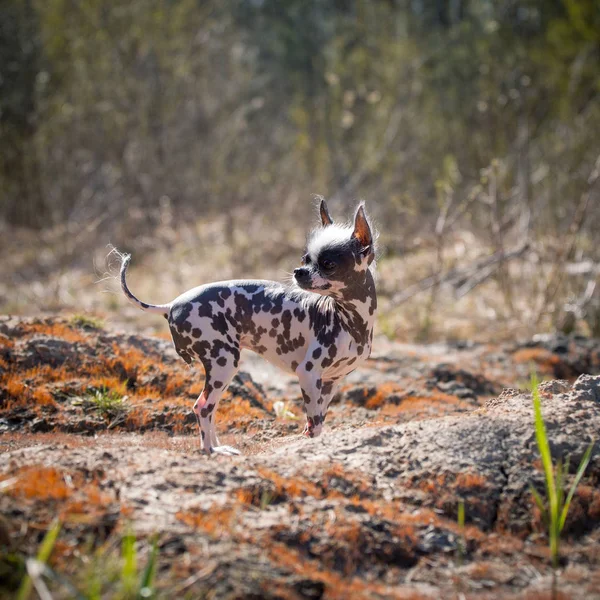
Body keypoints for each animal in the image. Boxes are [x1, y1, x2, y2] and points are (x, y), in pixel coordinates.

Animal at [119, 198, 378, 454]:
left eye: (328, 264)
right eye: (304, 259)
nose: (298, 272)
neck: (349, 321)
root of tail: (171, 305)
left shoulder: (330, 382)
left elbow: (320, 422)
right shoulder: (307, 373)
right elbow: (313, 425)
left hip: (222, 368)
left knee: (210, 408)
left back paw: (217, 446)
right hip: (224, 362)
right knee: (202, 406)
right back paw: (211, 451)